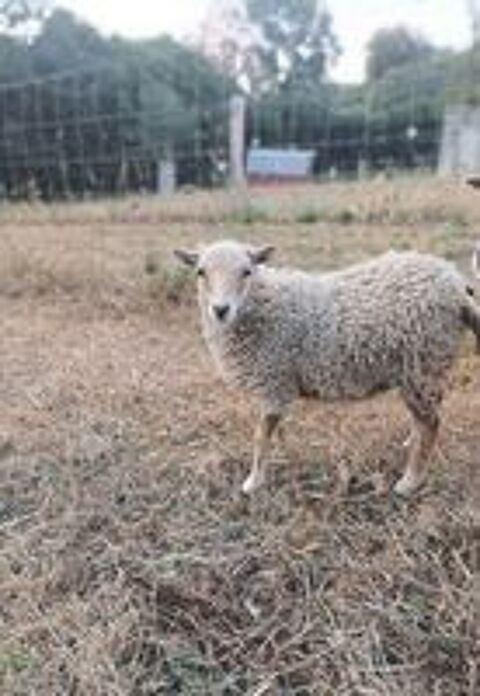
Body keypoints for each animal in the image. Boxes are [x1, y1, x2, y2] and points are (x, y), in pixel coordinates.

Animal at [175, 240, 480, 497]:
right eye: (200, 272)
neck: (263, 306)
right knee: (423, 418)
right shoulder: (276, 386)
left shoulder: (274, 380)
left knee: (431, 423)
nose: (220, 309)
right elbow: (274, 432)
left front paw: (253, 482)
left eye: (247, 271)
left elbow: (261, 436)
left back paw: (409, 482)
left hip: (423, 364)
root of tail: (455, 285)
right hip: (420, 370)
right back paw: (409, 445)